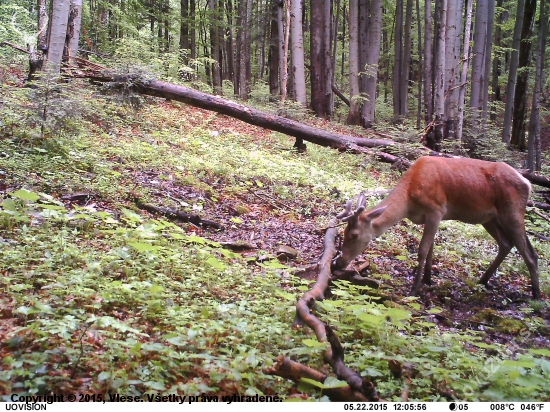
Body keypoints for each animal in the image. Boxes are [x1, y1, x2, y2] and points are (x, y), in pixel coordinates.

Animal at [334, 156, 540, 298]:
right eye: (343, 231)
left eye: (354, 235)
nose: (339, 262)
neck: (409, 201)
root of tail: (528, 183)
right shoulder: (429, 216)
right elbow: (431, 248)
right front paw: (428, 279)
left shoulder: (436, 210)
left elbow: (423, 249)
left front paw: (415, 288)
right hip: (490, 219)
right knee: (506, 244)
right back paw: (482, 280)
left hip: (512, 212)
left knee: (529, 253)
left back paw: (536, 296)